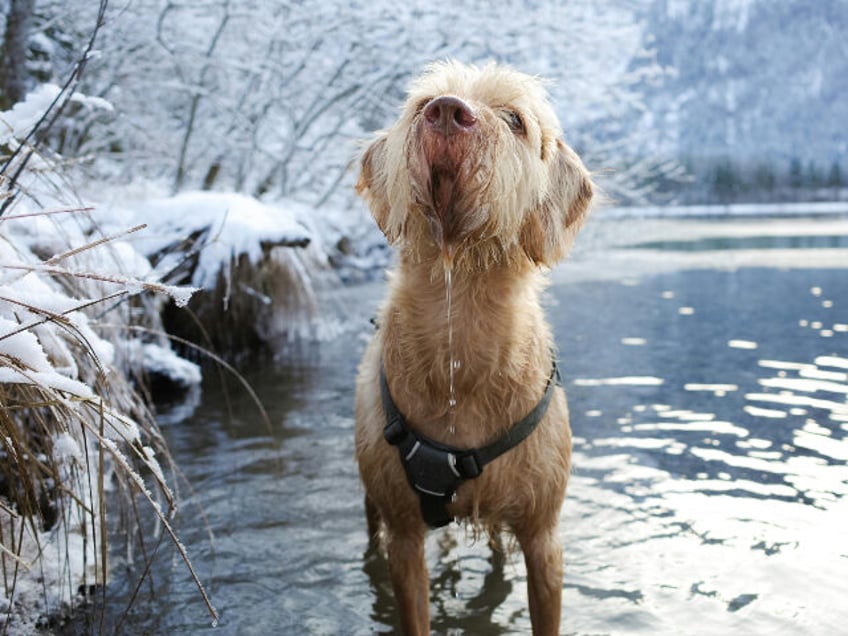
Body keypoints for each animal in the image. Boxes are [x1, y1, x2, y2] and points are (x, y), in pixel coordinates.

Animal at [354, 60, 592, 636]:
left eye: (515, 119)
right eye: (423, 105)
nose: (445, 111)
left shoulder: (544, 537)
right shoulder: (404, 538)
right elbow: (412, 609)